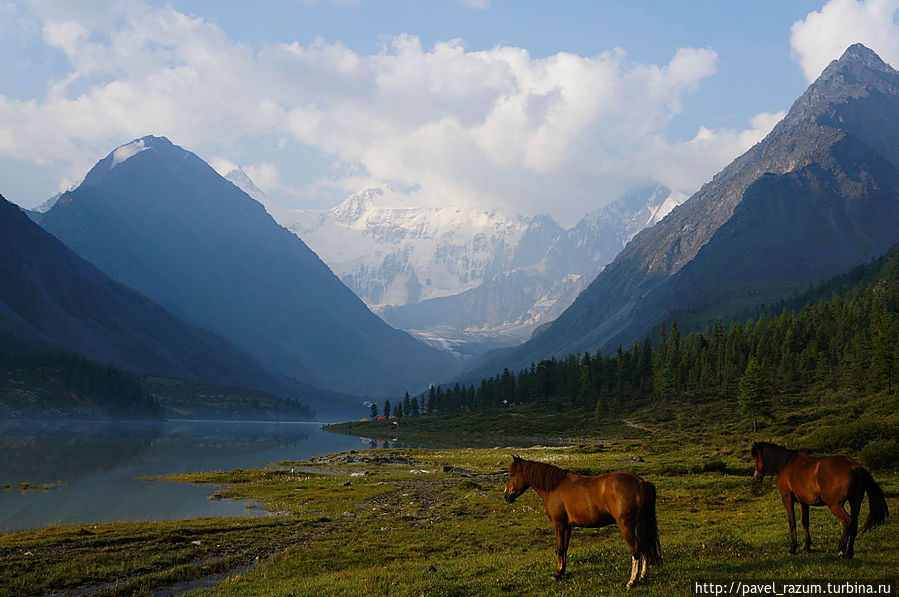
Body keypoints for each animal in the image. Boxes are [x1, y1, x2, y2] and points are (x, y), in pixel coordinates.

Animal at [502, 456, 664, 588]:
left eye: (512, 474)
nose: (506, 496)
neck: (554, 487)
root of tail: (640, 482)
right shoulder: (567, 526)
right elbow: (564, 548)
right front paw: (561, 572)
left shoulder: (558, 523)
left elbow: (559, 547)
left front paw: (556, 574)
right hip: (639, 524)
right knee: (644, 546)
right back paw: (643, 576)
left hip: (626, 526)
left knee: (636, 550)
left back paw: (632, 582)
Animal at [748, 438, 888, 560]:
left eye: (755, 457)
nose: (756, 476)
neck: (785, 464)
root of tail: (854, 466)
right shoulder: (804, 502)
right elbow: (805, 522)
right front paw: (806, 547)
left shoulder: (787, 499)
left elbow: (792, 522)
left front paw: (793, 548)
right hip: (855, 502)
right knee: (854, 523)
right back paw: (849, 553)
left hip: (835, 505)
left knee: (847, 521)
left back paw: (841, 550)